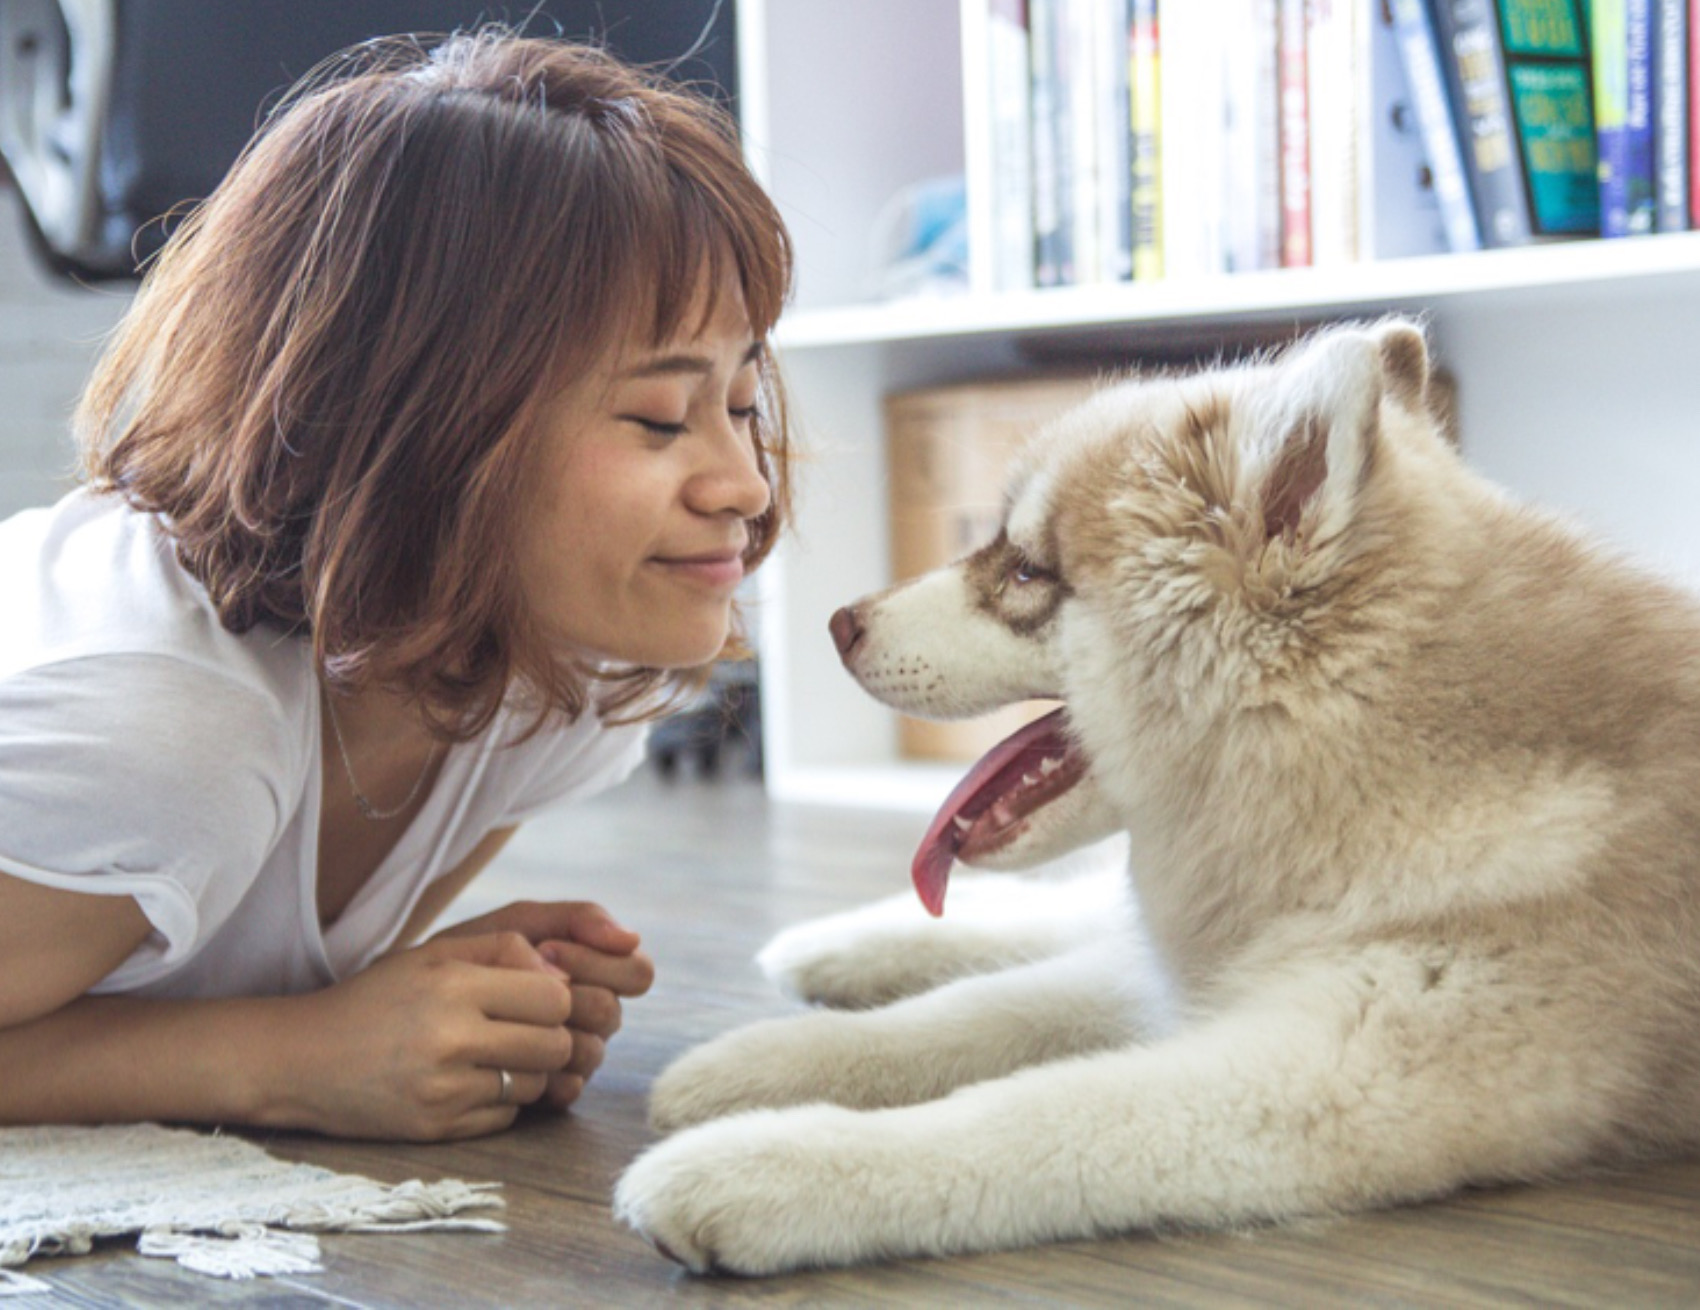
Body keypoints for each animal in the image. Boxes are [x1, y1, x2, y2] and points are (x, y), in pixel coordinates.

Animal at [615, 322, 1700, 1277]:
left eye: (1024, 571)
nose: (839, 623)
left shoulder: (1328, 1075)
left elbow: (1027, 1113)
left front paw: (762, 1166)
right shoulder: (1210, 976)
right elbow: (974, 1012)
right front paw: (757, 1061)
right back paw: (836, 947)